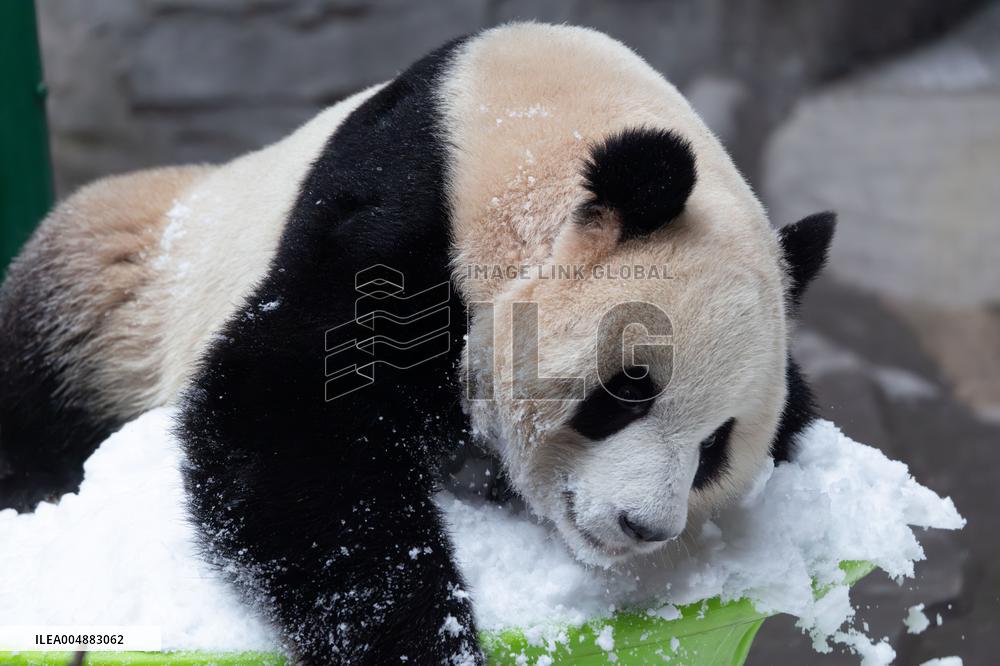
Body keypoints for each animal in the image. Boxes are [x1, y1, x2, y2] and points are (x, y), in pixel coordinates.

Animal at [0, 23, 835, 665]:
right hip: (119, 289)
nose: (643, 527)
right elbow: (287, 415)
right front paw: (424, 642)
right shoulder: (397, 220)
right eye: (627, 391)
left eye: (715, 448)